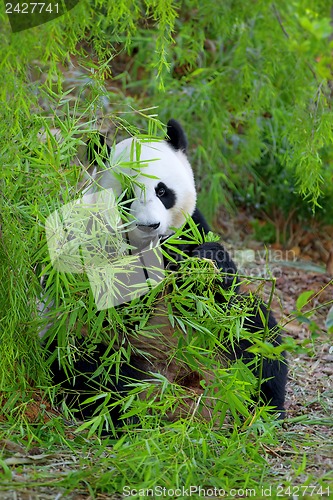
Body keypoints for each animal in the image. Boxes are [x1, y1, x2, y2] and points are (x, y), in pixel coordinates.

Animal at [47, 119, 288, 428]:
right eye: (127, 195)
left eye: (162, 192)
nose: (149, 226)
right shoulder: (92, 241)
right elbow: (115, 302)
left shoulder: (191, 228)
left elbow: (220, 285)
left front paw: (202, 266)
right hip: (99, 346)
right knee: (86, 365)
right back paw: (124, 412)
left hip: (227, 344)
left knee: (258, 337)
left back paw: (262, 411)